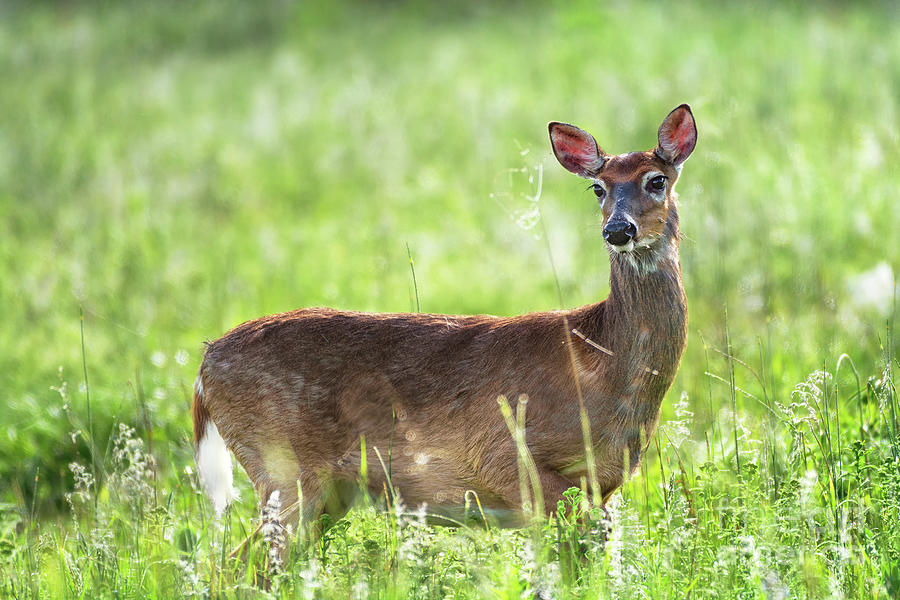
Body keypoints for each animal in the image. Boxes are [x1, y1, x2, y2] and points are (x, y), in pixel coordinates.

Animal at [192, 104, 697, 535]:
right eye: (598, 188)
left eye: (657, 180)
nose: (618, 229)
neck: (599, 357)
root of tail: (205, 365)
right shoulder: (507, 458)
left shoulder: (604, 487)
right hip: (283, 468)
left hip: (326, 492)